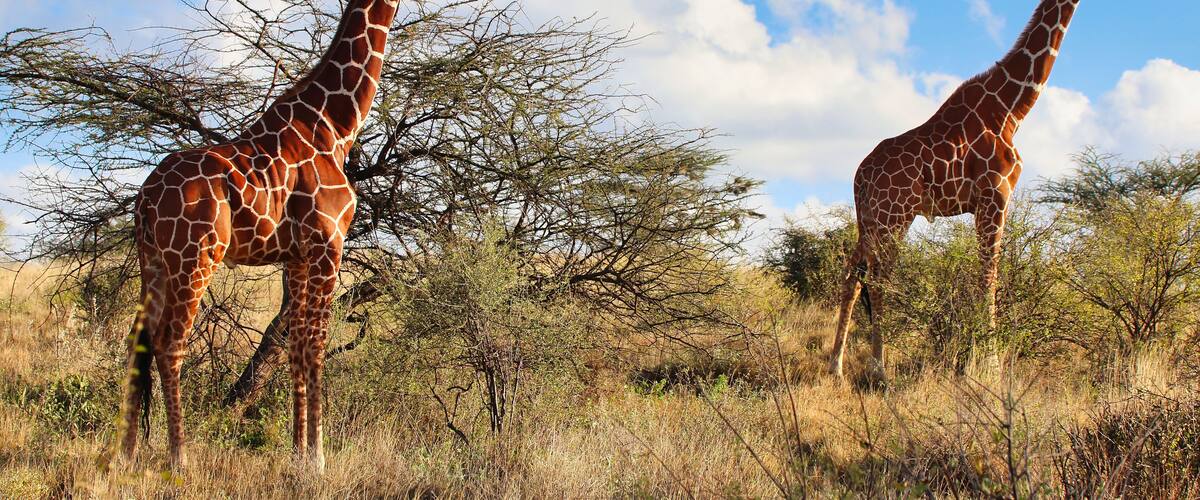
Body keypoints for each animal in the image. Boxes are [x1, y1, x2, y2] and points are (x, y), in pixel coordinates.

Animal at [119, 0, 401, 470]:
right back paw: (179, 457)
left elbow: (296, 347)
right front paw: (318, 457)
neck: (335, 125)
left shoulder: (297, 256)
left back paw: (127, 452)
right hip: (195, 256)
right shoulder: (328, 244)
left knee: (137, 339)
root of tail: (144, 197)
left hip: (153, 261)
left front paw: (299, 453)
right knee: (169, 342)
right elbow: (317, 344)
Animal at [827, 0, 1079, 379]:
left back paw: (837, 366)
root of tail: (860, 176)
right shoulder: (995, 197)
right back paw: (879, 369)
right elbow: (988, 277)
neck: (1011, 108)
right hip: (894, 217)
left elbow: (983, 276)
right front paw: (990, 366)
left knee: (852, 275)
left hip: (869, 220)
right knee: (879, 278)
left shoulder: (987, 202)